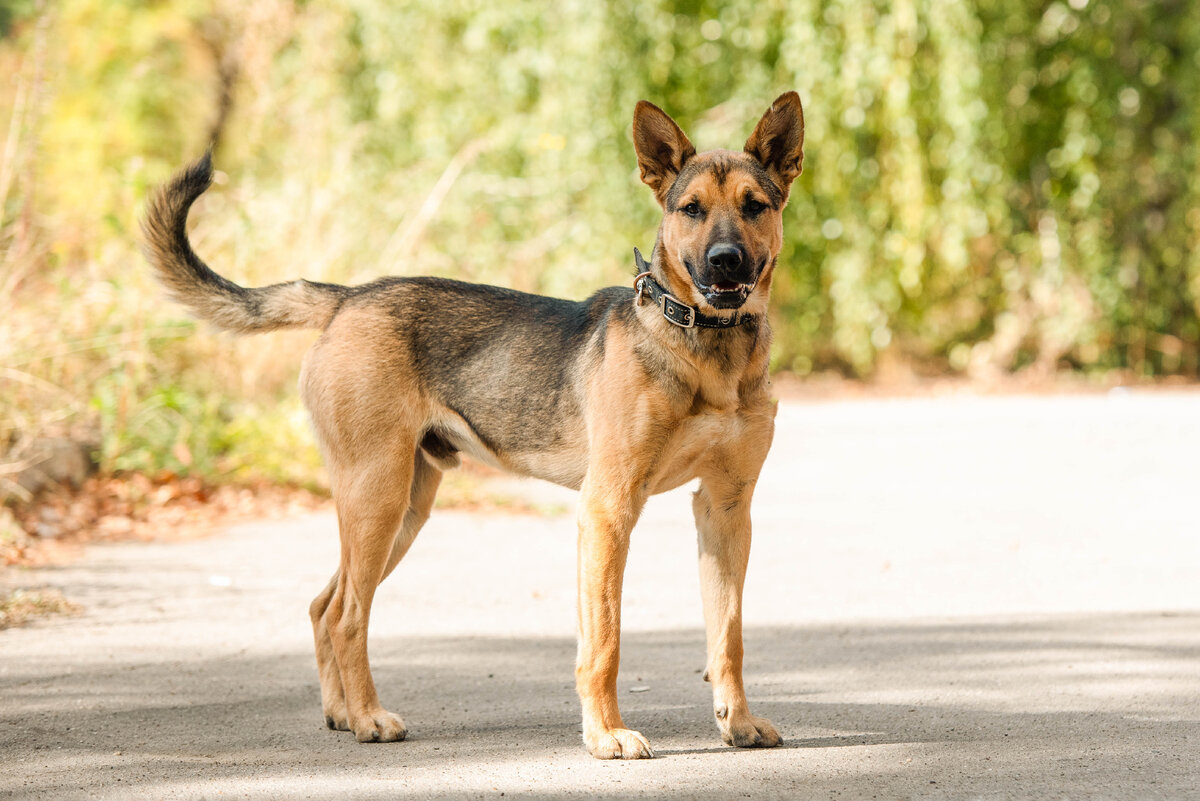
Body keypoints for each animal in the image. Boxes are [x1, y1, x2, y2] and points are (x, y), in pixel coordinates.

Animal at [145, 90, 806, 762]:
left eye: (755, 206)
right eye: (690, 209)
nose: (725, 264)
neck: (705, 348)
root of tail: (349, 297)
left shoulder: (725, 508)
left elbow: (729, 635)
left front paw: (737, 722)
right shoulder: (609, 509)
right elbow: (604, 643)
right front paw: (605, 735)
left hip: (402, 508)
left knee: (323, 604)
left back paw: (341, 714)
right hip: (377, 497)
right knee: (347, 615)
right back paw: (369, 718)